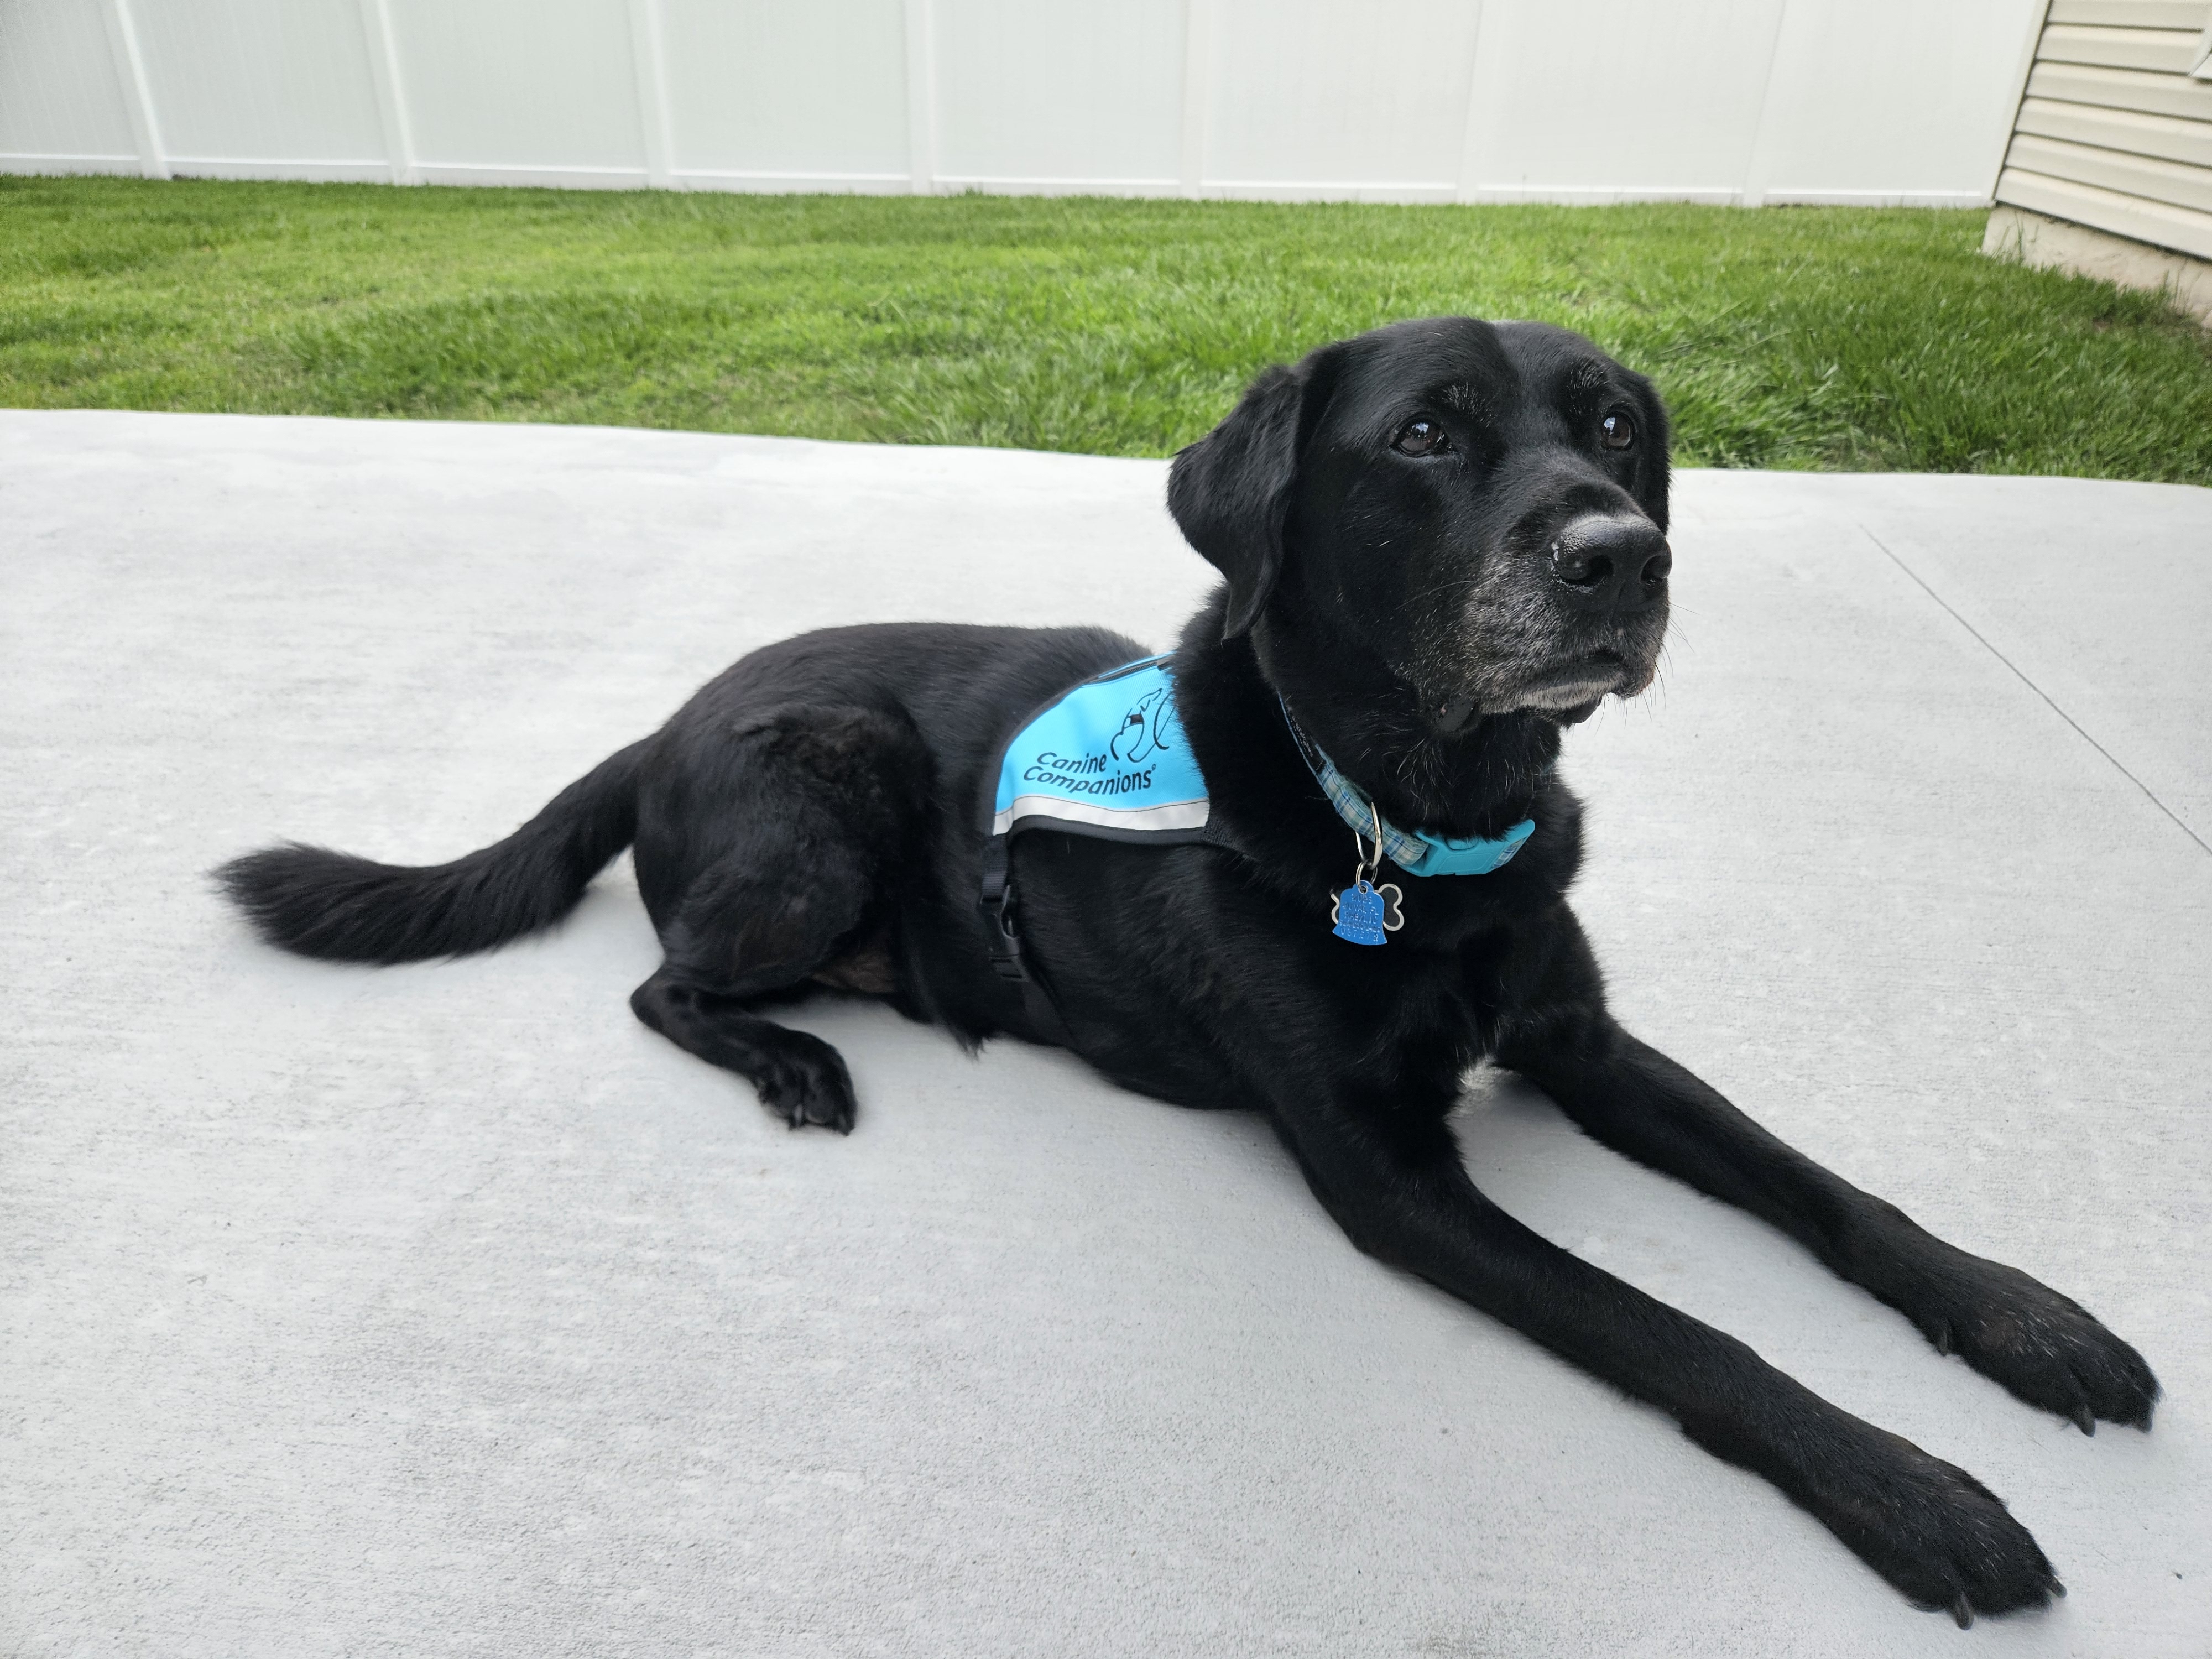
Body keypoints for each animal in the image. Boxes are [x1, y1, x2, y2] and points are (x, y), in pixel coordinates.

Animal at [225, 319, 2159, 1628]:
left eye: (1615, 424)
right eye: (1427, 433)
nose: (1624, 551)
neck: (1412, 823)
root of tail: (664, 720)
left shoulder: (1581, 1037)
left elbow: (1825, 1190)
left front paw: (2025, 1321)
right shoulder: (1391, 1179)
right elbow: (1685, 1330)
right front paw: (1914, 1491)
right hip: (824, 790)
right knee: (659, 985)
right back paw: (799, 1060)